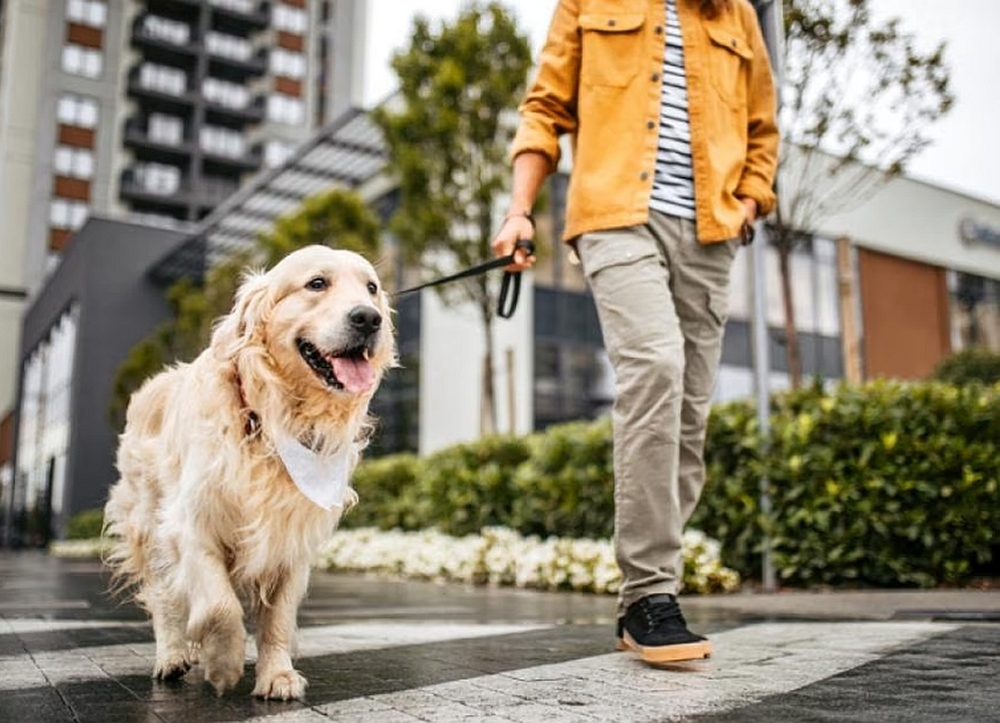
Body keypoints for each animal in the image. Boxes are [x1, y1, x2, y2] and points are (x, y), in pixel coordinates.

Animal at [104, 245, 394, 700]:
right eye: (317, 283)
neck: (272, 418)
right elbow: (219, 604)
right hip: (147, 524)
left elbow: (277, 619)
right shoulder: (190, 524)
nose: (368, 318)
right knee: (164, 597)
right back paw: (172, 655)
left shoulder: (291, 536)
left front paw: (277, 674)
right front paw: (223, 661)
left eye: (371, 288)